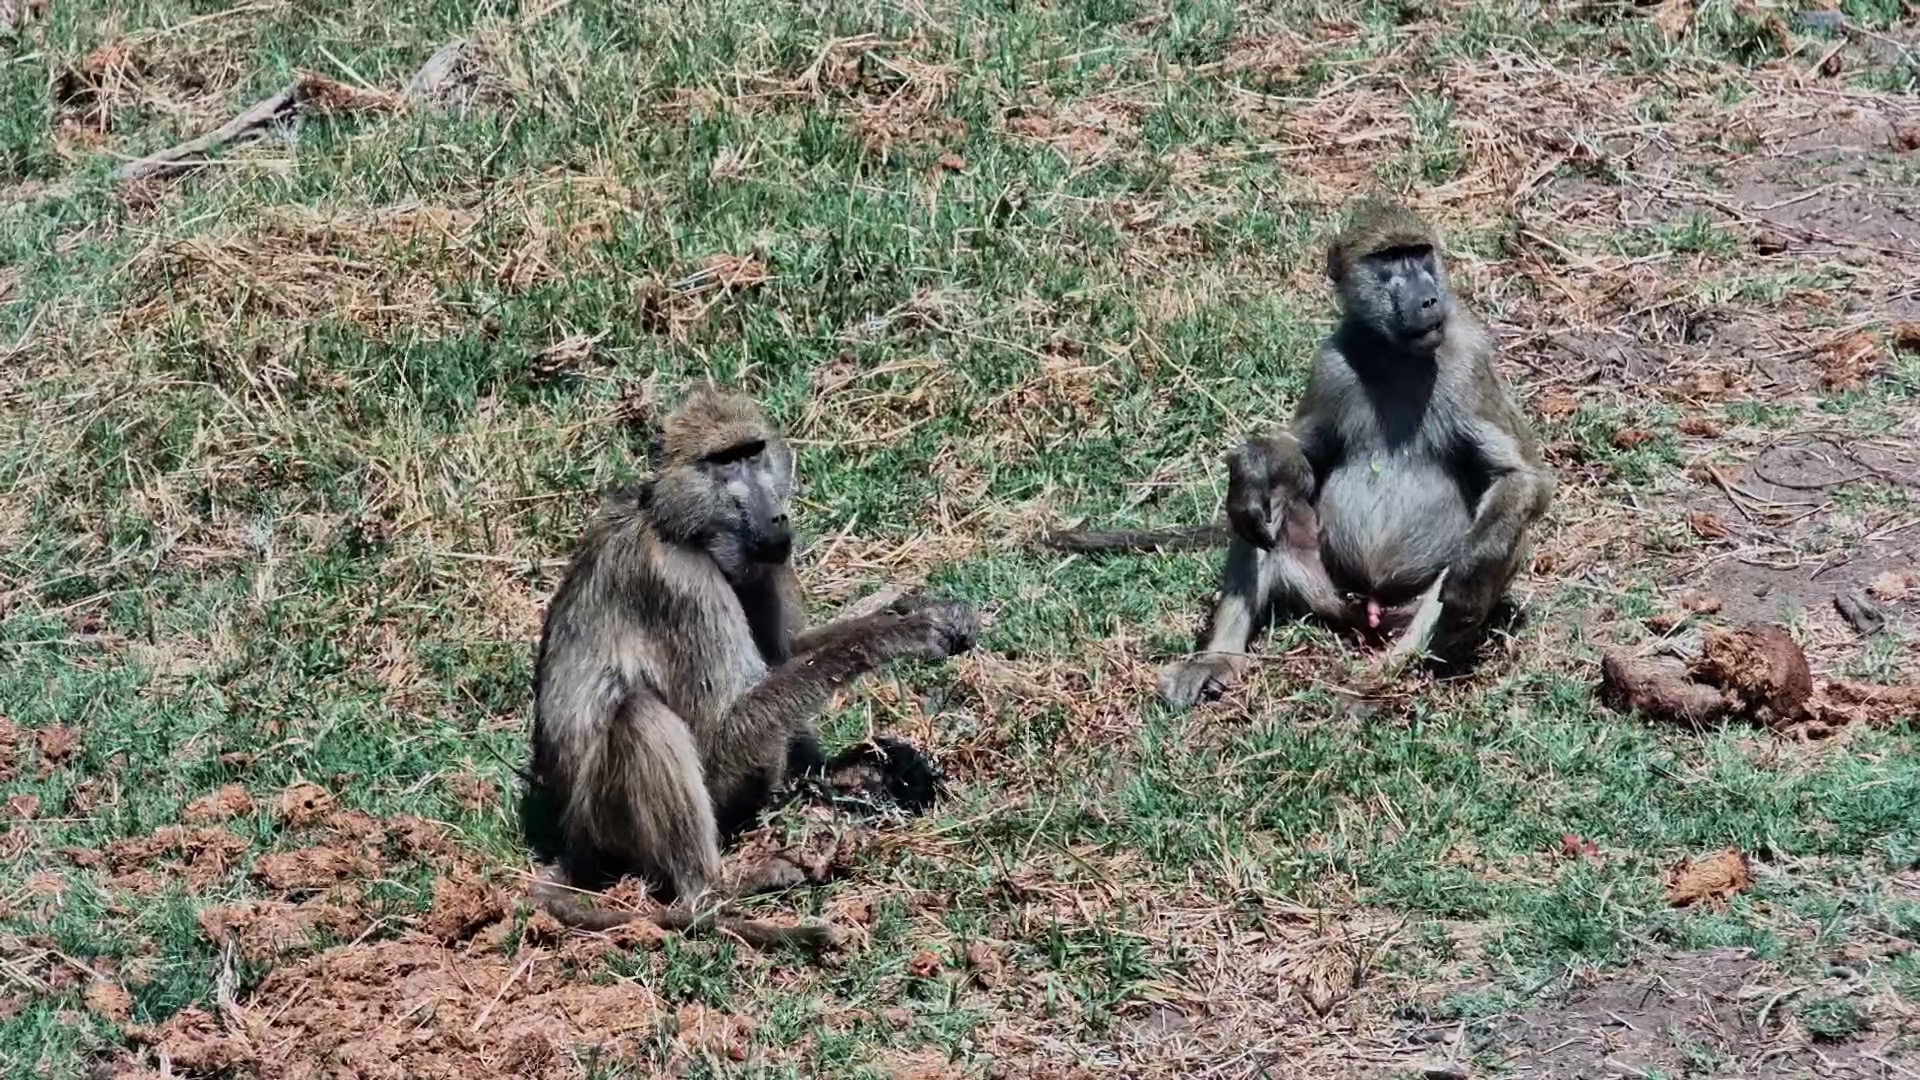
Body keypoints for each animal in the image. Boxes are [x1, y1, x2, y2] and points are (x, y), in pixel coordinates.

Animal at [519, 387, 979, 951]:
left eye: (753, 451)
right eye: (724, 461)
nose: (776, 517)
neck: (679, 528)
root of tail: (571, 837)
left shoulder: (765, 562)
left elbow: (791, 652)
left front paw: (916, 610)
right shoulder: (680, 584)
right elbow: (720, 727)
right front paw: (900, 633)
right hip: (607, 819)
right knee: (642, 718)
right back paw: (723, 890)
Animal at [1047, 199, 1554, 710]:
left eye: (1420, 253)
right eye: (1388, 259)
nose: (1428, 299)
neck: (1395, 355)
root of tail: (1370, 611)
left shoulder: (1470, 362)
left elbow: (1521, 478)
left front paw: (1471, 574)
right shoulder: (1330, 363)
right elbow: (1302, 460)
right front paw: (1251, 462)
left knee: (1495, 543)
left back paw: (1382, 678)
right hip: (1325, 589)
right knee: (1262, 506)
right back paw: (1219, 658)